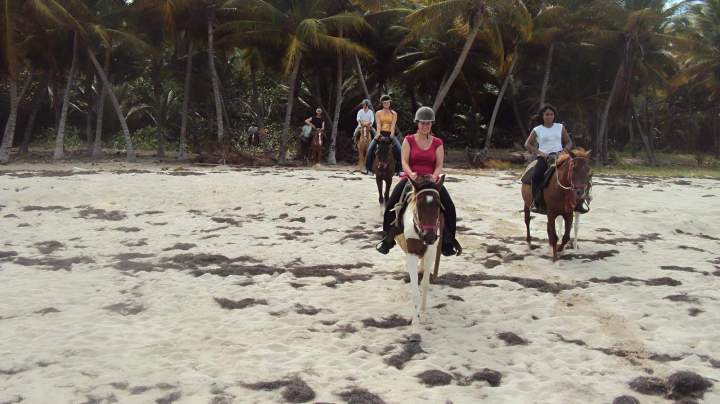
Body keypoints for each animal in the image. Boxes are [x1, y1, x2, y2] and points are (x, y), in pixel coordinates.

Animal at [394, 175, 445, 333]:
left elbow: (425, 285)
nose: (429, 237)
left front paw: (422, 313)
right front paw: (415, 324)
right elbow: (415, 290)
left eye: (438, 205)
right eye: (419, 205)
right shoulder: (411, 255)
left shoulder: (430, 254)